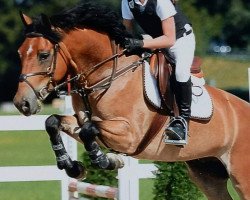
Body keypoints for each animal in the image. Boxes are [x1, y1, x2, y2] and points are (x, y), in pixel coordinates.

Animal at [13, 1, 250, 200]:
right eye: (20, 53)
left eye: (43, 55)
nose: (21, 103)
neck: (107, 74)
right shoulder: (81, 120)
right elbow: (54, 122)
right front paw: (73, 167)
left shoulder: (130, 135)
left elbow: (90, 129)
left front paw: (106, 160)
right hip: (207, 173)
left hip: (242, 177)